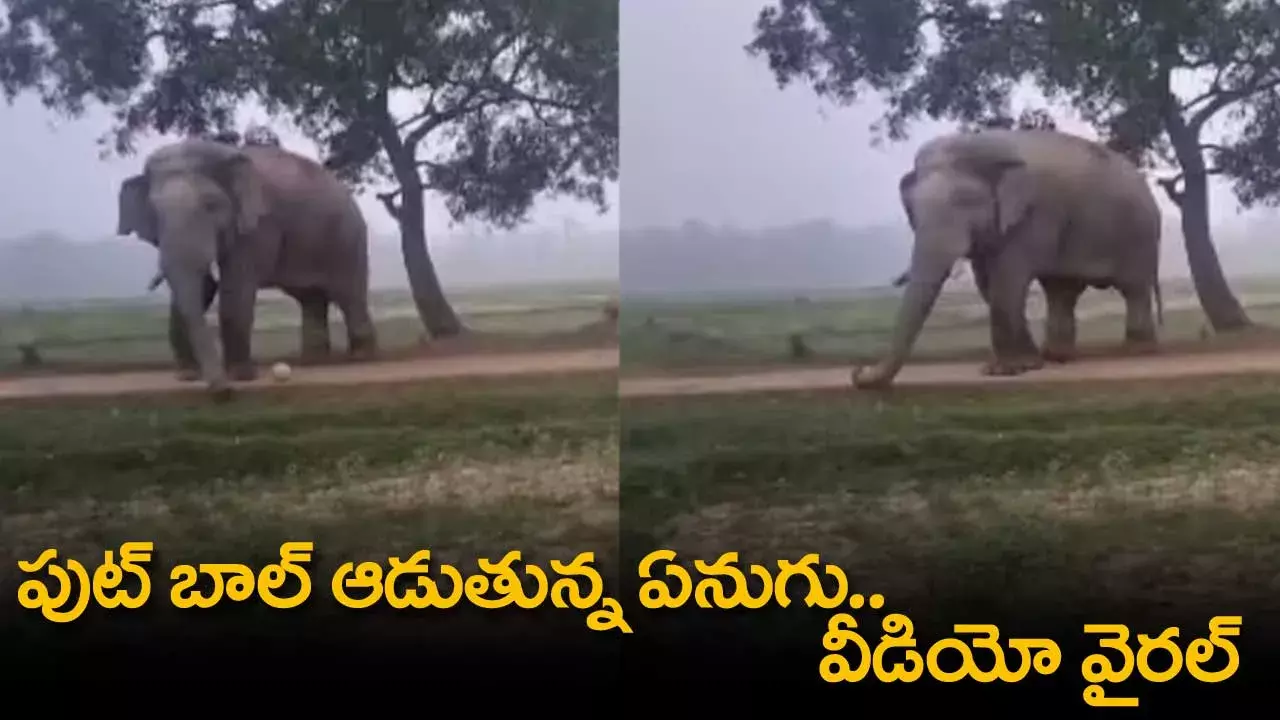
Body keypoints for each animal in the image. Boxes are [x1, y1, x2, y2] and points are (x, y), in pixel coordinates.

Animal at [117, 138, 378, 399]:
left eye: (211, 205)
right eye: (154, 211)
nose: (223, 392)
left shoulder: (259, 224)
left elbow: (236, 285)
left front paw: (242, 376)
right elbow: (199, 288)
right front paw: (186, 377)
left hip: (348, 238)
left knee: (349, 296)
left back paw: (360, 357)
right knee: (312, 300)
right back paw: (313, 359)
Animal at [854, 128, 1163, 390]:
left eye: (966, 202)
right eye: (913, 212)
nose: (859, 371)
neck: (981, 144)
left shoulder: (1033, 215)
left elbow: (1008, 278)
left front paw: (1004, 372)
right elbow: (988, 284)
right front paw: (1028, 365)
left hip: (1139, 235)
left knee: (1133, 288)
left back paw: (1137, 351)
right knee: (1061, 290)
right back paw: (1057, 357)